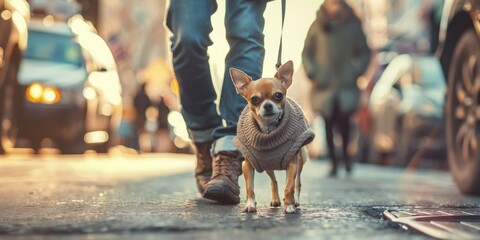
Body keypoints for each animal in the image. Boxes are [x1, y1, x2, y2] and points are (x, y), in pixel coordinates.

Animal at [230, 60, 314, 214]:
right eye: (254, 99)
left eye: (278, 95)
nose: (268, 106)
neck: (269, 131)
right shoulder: (247, 165)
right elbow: (250, 188)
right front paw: (250, 205)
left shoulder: (292, 164)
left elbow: (289, 187)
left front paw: (289, 206)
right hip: (267, 165)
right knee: (273, 180)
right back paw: (276, 200)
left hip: (299, 162)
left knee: (297, 183)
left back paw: (295, 201)